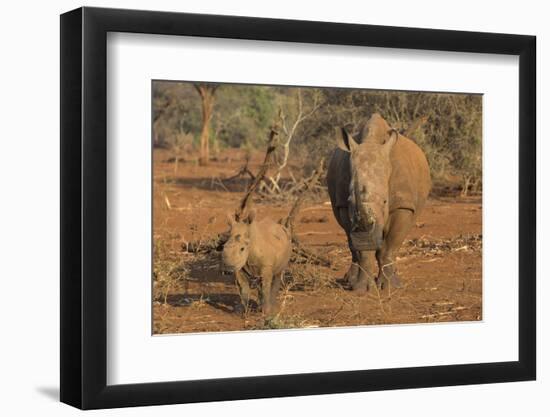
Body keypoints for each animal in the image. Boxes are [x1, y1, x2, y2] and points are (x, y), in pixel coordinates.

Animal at [328, 112, 432, 290]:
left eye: (385, 201)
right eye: (350, 200)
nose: (365, 235)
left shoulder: (402, 204)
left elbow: (389, 247)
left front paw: (390, 287)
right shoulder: (343, 205)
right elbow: (362, 251)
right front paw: (362, 288)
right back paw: (350, 280)